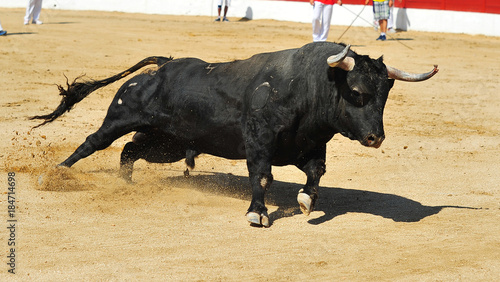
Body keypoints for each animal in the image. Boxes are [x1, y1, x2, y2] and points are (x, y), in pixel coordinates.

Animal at [31, 42, 438, 227]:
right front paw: (257, 214)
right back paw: (54, 175)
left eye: (385, 95)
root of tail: (163, 67)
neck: (307, 88)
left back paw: (126, 185)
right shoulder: (259, 143)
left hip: (168, 143)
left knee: (129, 151)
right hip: (122, 116)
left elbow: (315, 175)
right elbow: (262, 176)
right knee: (94, 143)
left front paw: (306, 202)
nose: (375, 138)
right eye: (356, 91)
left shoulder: (310, 147)